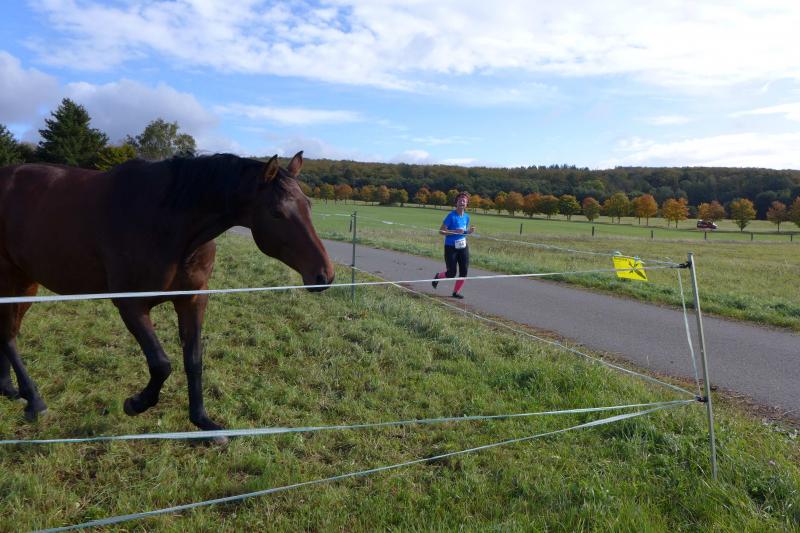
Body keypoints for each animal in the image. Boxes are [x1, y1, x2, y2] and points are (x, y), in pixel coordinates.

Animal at [0, 151, 333, 434]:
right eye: (277, 212)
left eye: (309, 205)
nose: (324, 275)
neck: (167, 224)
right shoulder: (130, 305)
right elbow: (162, 364)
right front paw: (135, 404)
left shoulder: (192, 300)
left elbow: (193, 360)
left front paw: (203, 422)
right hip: (10, 281)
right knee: (8, 336)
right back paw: (34, 400)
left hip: (26, 283)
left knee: (8, 334)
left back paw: (9, 388)